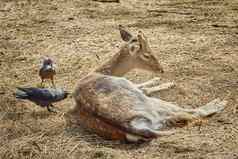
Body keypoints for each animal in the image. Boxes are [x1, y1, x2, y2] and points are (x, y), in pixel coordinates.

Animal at [65, 26, 227, 143]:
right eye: (147, 55)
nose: (161, 70)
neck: (102, 71)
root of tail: (134, 127)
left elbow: (144, 85)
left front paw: (162, 80)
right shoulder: (128, 84)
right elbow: (144, 88)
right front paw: (168, 82)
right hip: (152, 104)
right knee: (189, 113)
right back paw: (218, 102)